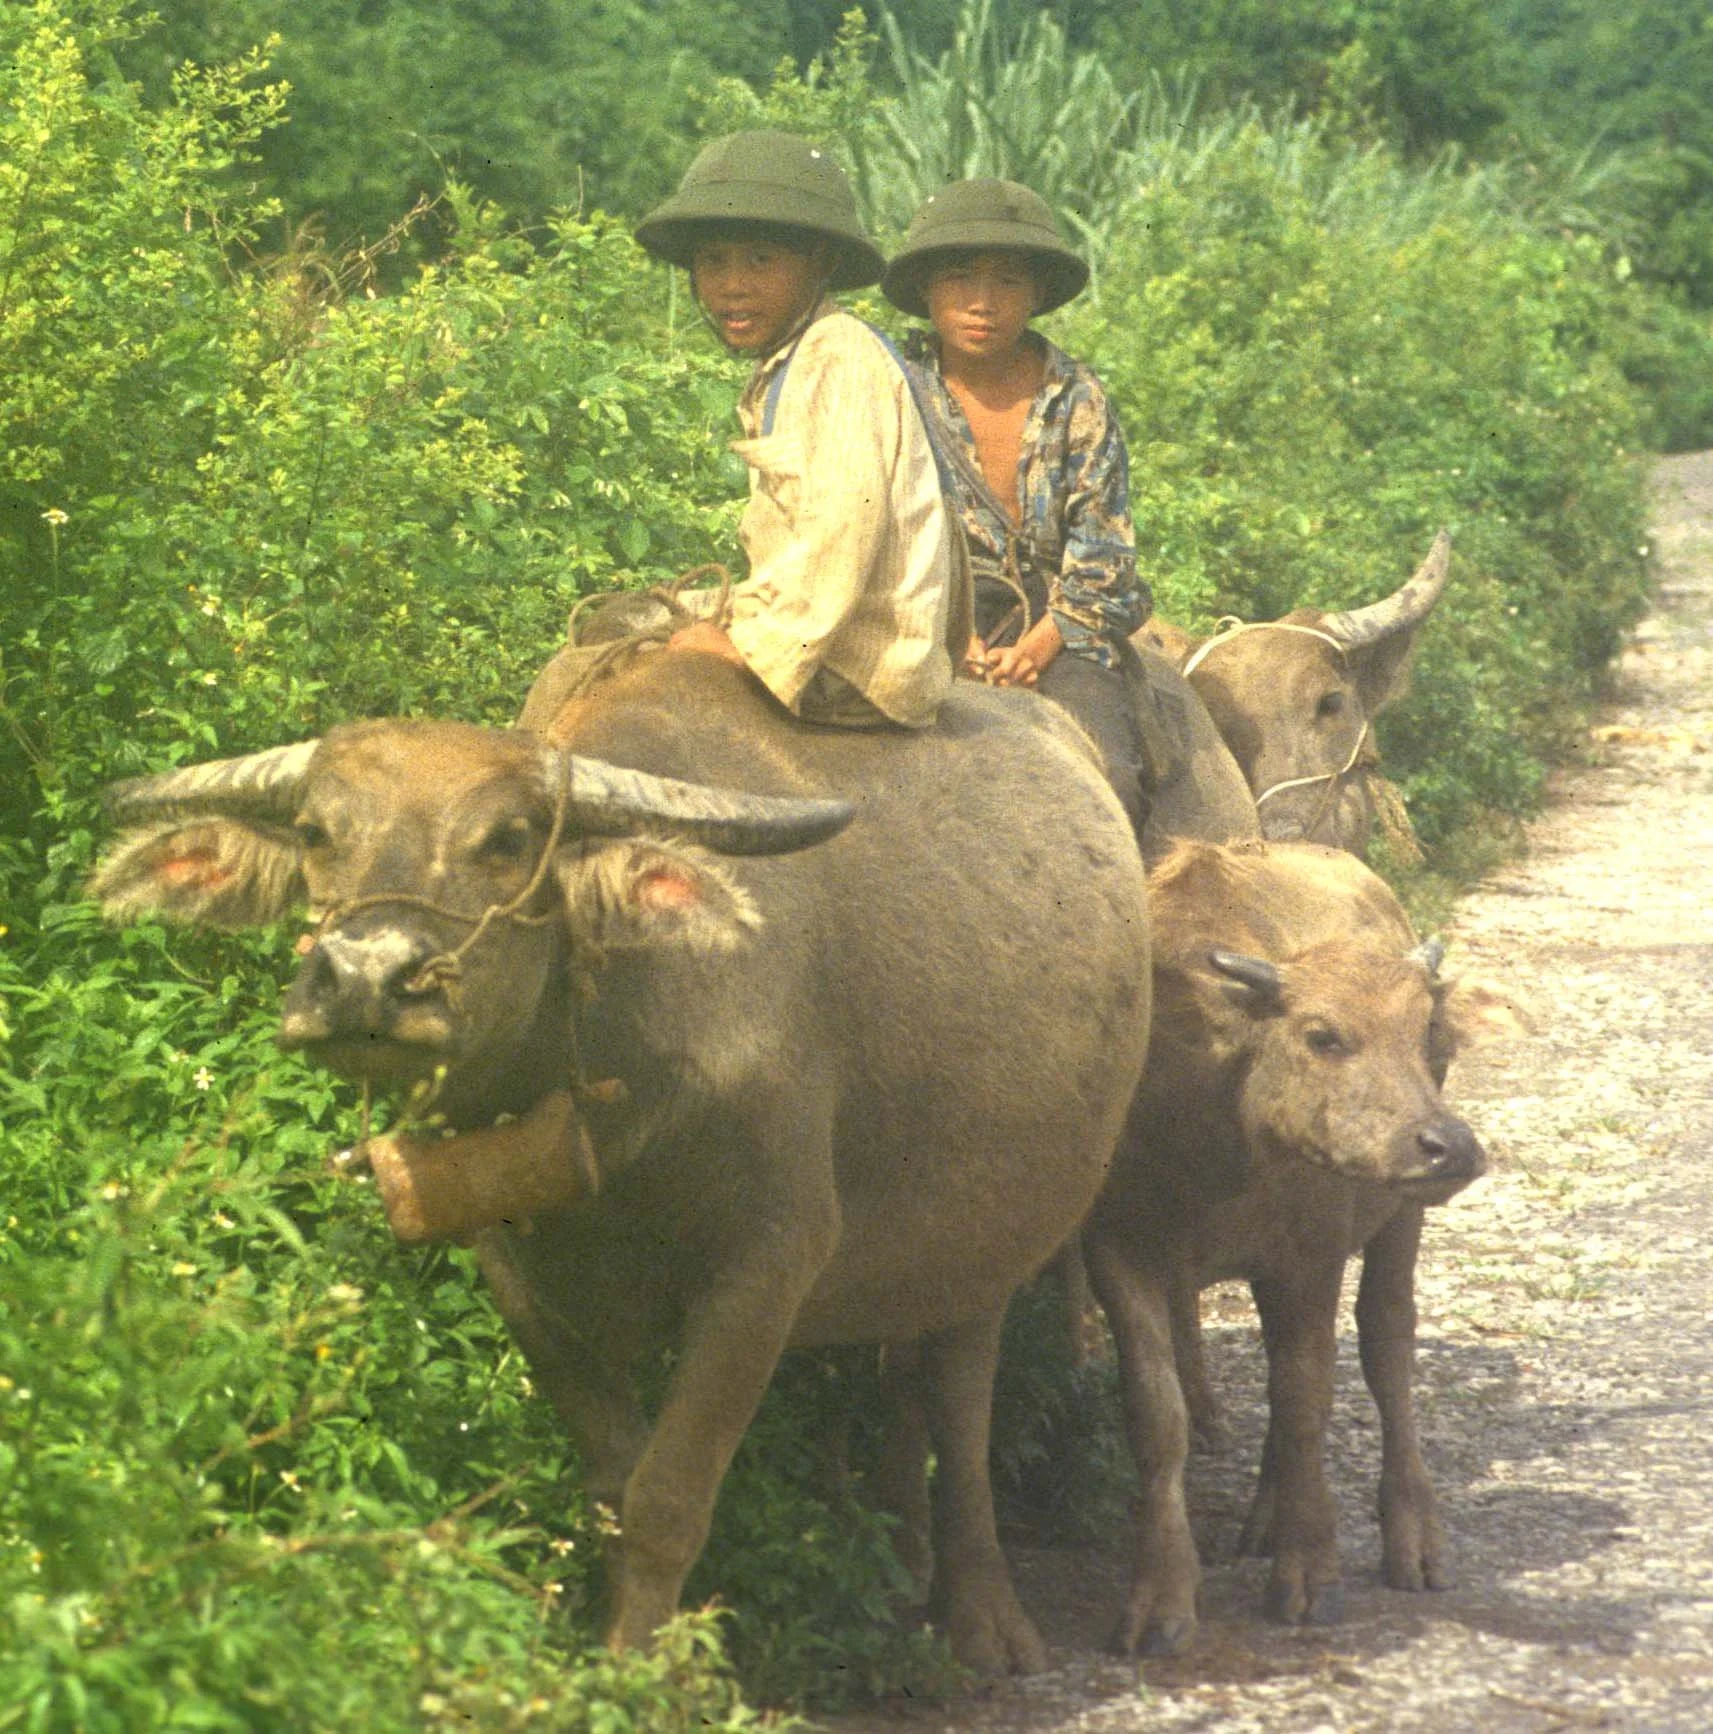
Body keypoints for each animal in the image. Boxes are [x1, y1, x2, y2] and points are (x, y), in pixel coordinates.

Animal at [91, 650, 1153, 1674]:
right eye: (317, 831)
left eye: (508, 839)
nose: (361, 977)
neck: (619, 1063)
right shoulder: (520, 1276)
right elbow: (611, 1485)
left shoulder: (767, 1267)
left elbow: (667, 1498)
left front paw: (641, 1672)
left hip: (998, 1238)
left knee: (961, 1407)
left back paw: (985, 1621)